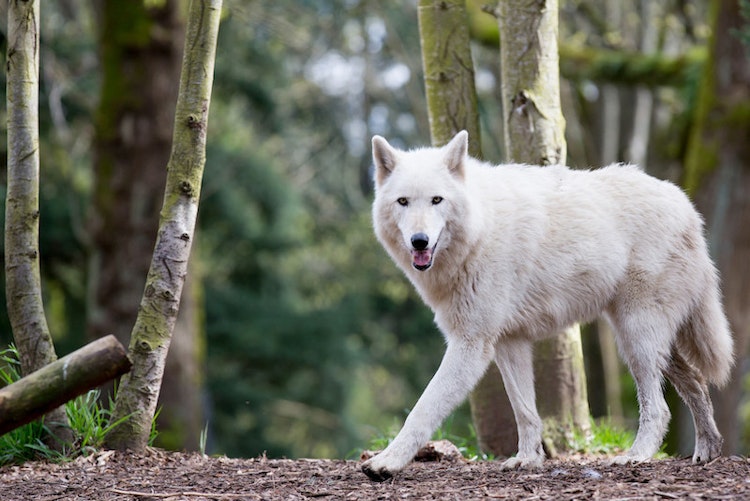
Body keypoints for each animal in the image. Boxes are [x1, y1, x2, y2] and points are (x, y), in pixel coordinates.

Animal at [362, 129, 736, 480]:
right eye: (403, 201)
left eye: (436, 200)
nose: (419, 241)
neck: (481, 227)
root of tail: (687, 207)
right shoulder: (509, 342)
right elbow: (525, 410)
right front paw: (527, 460)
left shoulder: (471, 344)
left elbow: (422, 409)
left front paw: (386, 463)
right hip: (651, 342)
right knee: (696, 382)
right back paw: (707, 450)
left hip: (636, 340)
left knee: (659, 408)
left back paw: (637, 455)